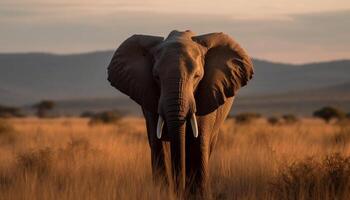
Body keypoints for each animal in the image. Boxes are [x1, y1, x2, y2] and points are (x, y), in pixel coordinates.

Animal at [107, 29, 254, 197]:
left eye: (197, 76)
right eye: (156, 77)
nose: (179, 191)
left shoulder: (207, 95)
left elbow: (198, 144)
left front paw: (196, 195)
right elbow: (159, 146)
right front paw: (163, 194)